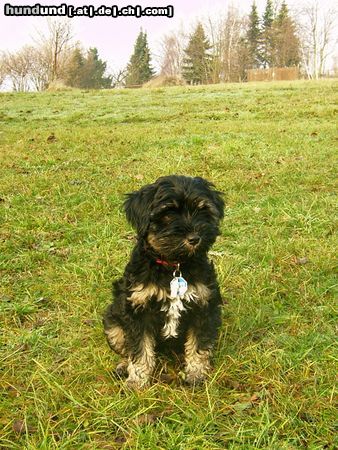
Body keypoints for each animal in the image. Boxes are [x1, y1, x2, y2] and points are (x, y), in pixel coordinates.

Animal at [103, 176, 224, 386]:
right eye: (168, 214)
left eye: (202, 210)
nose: (194, 238)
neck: (174, 265)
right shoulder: (137, 309)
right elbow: (139, 348)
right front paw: (137, 381)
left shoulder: (204, 306)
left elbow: (198, 345)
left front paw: (196, 375)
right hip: (113, 321)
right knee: (124, 345)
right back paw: (123, 366)